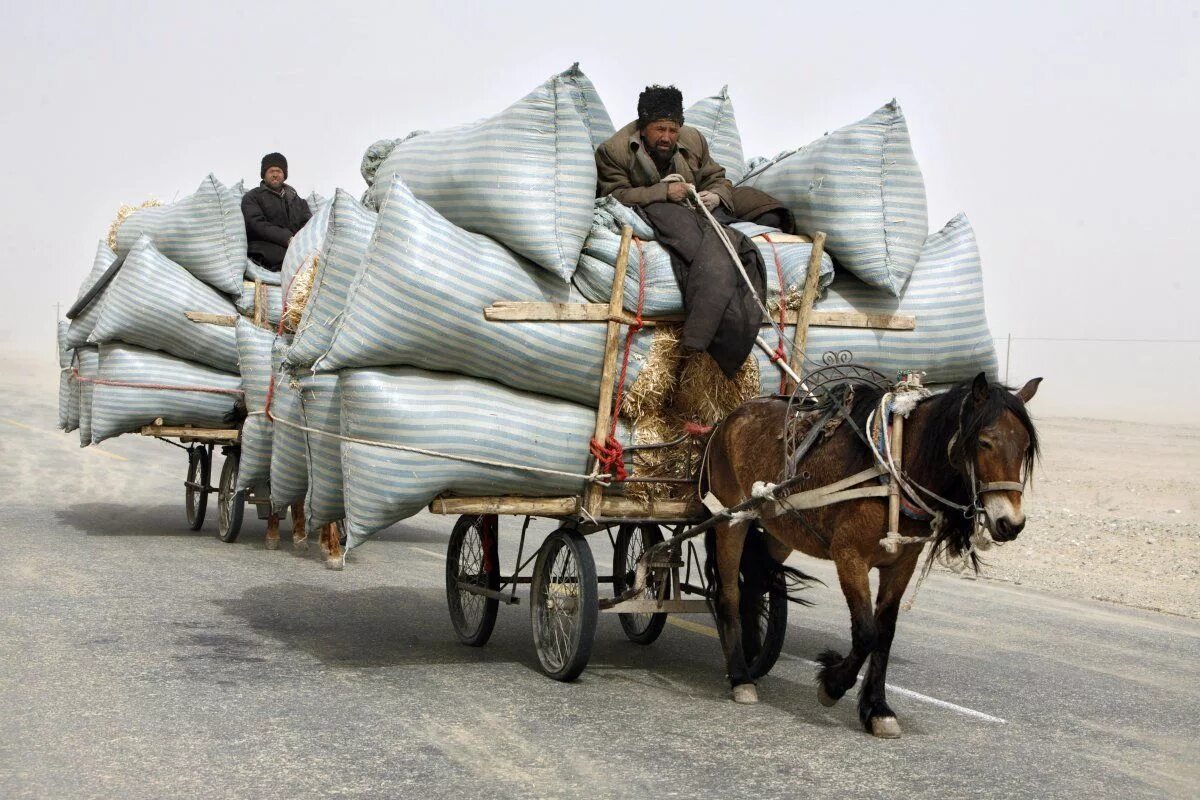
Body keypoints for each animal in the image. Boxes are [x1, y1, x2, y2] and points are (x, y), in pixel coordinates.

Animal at [700, 371, 1041, 734]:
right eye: (984, 442)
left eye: (1025, 447)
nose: (1011, 523)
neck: (893, 469)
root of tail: (729, 418)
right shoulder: (849, 556)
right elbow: (865, 632)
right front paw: (832, 684)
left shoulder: (901, 564)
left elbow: (884, 633)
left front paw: (877, 708)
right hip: (731, 521)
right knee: (730, 594)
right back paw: (740, 677)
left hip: (778, 530)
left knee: (754, 582)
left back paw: (752, 655)